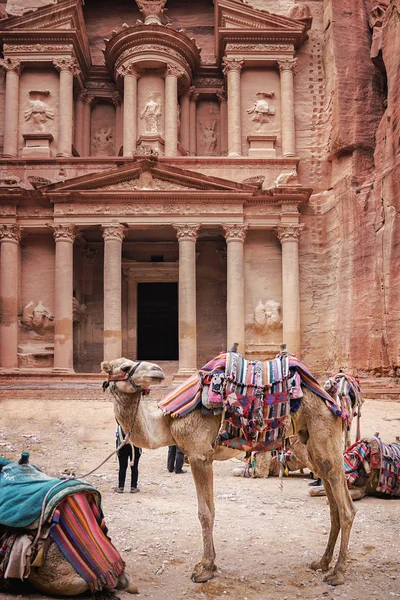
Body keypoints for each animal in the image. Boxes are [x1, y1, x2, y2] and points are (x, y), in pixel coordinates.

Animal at [101, 356, 356, 584]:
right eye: (124, 367)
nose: (157, 369)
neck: (169, 421)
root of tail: (335, 403)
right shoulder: (204, 457)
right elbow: (211, 510)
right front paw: (210, 564)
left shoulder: (199, 455)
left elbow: (205, 513)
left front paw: (204, 569)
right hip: (308, 443)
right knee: (332, 499)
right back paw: (322, 563)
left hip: (323, 434)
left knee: (346, 507)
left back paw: (338, 573)